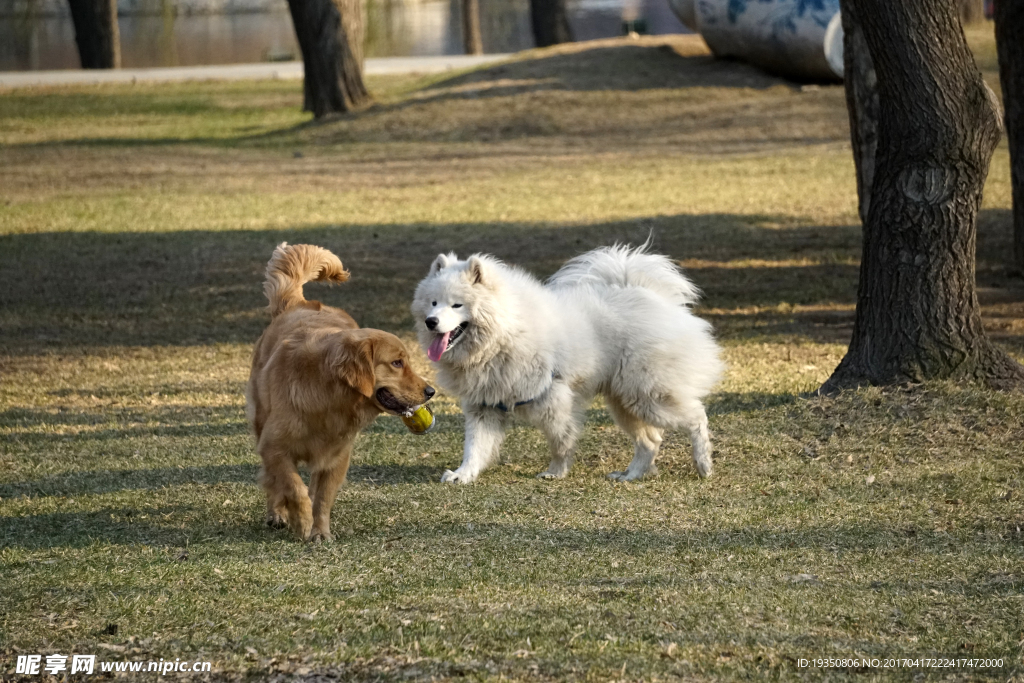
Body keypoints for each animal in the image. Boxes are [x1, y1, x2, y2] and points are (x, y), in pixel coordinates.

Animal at [411, 242, 724, 483]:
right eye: (433, 303)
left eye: (457, 305)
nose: (431, 322)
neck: (504, 335)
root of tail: (652, 296)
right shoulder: (484, 405)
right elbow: (474, 447)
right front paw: (463, 474)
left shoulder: (554, 399)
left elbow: (561, 441)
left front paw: (556, 472)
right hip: (625, 402)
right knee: (650, 442)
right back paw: (631, 475)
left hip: (648, 396)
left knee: (696, 416)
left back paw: (703, 464)